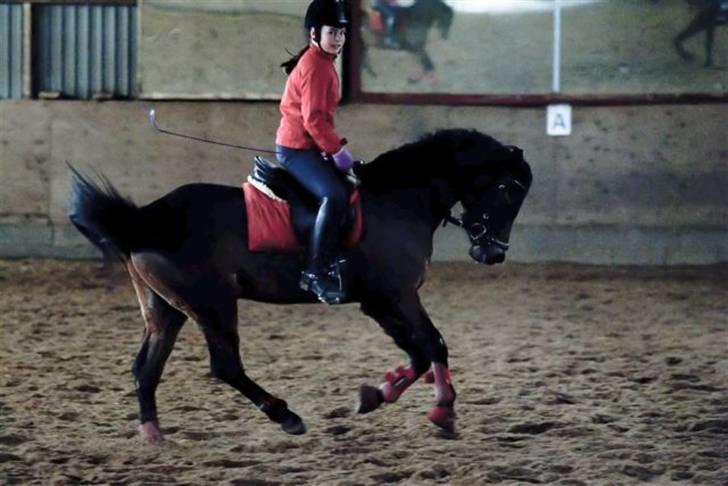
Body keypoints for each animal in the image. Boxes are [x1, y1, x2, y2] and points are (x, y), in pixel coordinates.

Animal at [68, 129, 532, 444]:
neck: (399, 199)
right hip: (212, 306)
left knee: (146, 368)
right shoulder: (395, 295)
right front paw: (442, 411)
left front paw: (377, 395)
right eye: (509, 190)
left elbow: (421, 350)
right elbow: (432, 344)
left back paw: (153, 434)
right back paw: (285, 416)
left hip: (165, 309)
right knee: (225, 366)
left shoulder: (381, 301)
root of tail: (143, 219)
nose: (493, 254)